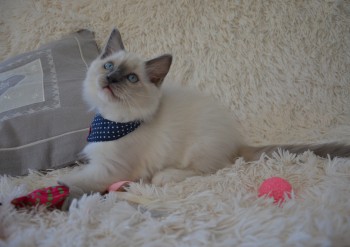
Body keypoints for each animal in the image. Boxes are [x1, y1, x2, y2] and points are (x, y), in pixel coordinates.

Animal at [58, 29, 348, 194]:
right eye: (108, 66)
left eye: (131, 78)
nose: (111, 79)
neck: (112, 121)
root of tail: (235, 140)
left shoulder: (110, 170)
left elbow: (75, 180)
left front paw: (58, 191)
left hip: (198, 149)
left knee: (210, 170)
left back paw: (165, 176)